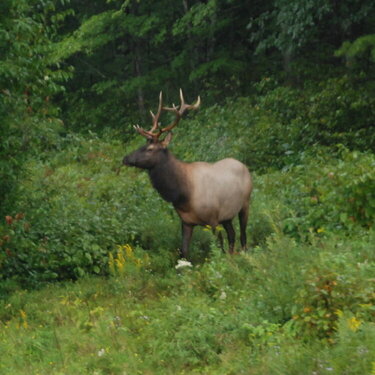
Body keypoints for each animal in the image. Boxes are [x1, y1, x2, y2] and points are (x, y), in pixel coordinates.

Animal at [123, 91, 253, 260]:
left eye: (150, 148)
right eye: (143, 145)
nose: (125, 158)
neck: (182, 194)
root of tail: (243, 165)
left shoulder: (213, 218)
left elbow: (218, 247)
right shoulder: (186, 221)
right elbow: (183, 251)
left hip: (245, 203)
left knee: (243, 235)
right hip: (227, 216)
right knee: (232, 234)